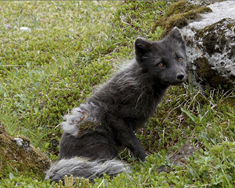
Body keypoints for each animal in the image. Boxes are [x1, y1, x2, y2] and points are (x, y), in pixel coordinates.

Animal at [44, 27, 187, 183]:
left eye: (180, 58)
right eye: (160, 64)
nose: (180, 75)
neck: (137, 83)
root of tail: (61, 159)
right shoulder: (117, 120)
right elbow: (134, 144)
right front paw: (147, 162)